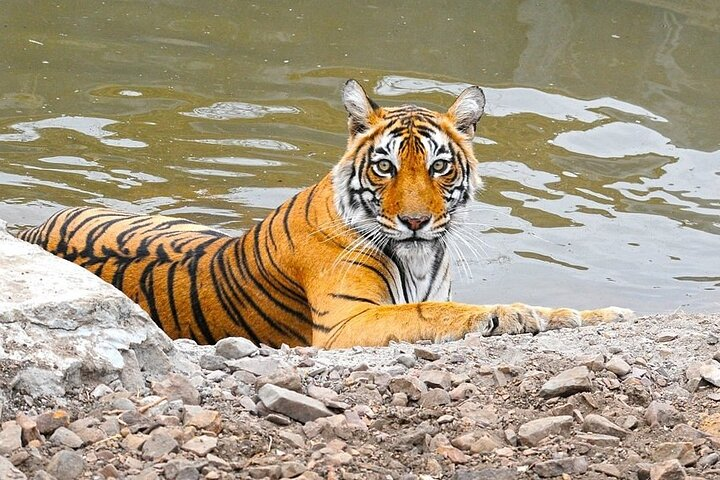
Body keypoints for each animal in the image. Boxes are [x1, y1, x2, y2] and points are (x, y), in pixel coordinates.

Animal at [17, 80, 634, 348]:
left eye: (439, 167)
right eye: (385, 168)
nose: (415, 222)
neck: (419, 255)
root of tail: (30, 226)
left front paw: (605, 315)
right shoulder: (347, 324)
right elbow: (437, 313)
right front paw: (512, 315)